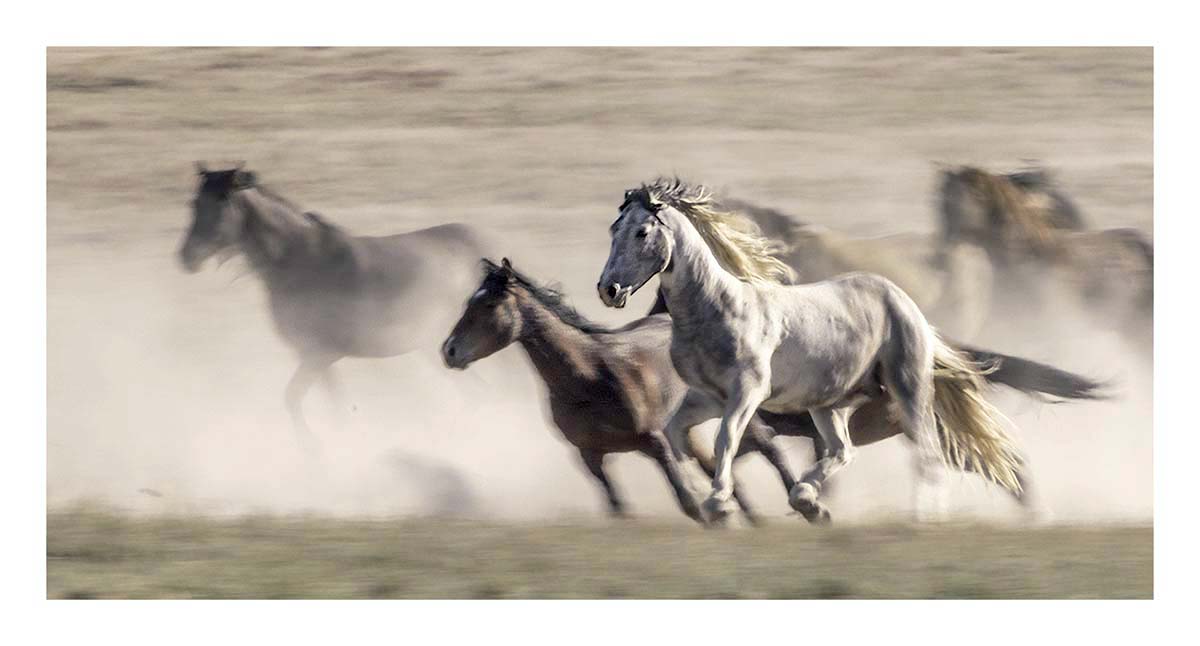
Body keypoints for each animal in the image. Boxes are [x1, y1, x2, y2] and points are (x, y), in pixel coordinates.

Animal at [179, 164, 485, 451]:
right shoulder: (313, 356)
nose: (186, 257)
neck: (299, 262)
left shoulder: (321, 353)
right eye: (194, 203)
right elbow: (334, 408)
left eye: (222, 202)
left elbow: (293, 398)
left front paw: (315, 452)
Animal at [598, 178, 1033, 524]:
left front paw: (718, 503)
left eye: (642, 232)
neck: (717, 309)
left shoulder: (747, 393)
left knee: (926, 455)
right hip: (829, 404)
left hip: (908, 392)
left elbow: (726, 439)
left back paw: (924, 518)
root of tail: (905, 303)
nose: (609, 290)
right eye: (615, 227)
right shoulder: (708, 396)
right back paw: (806, 498)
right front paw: (700, 500)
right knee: (843, 451)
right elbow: (677, 435)